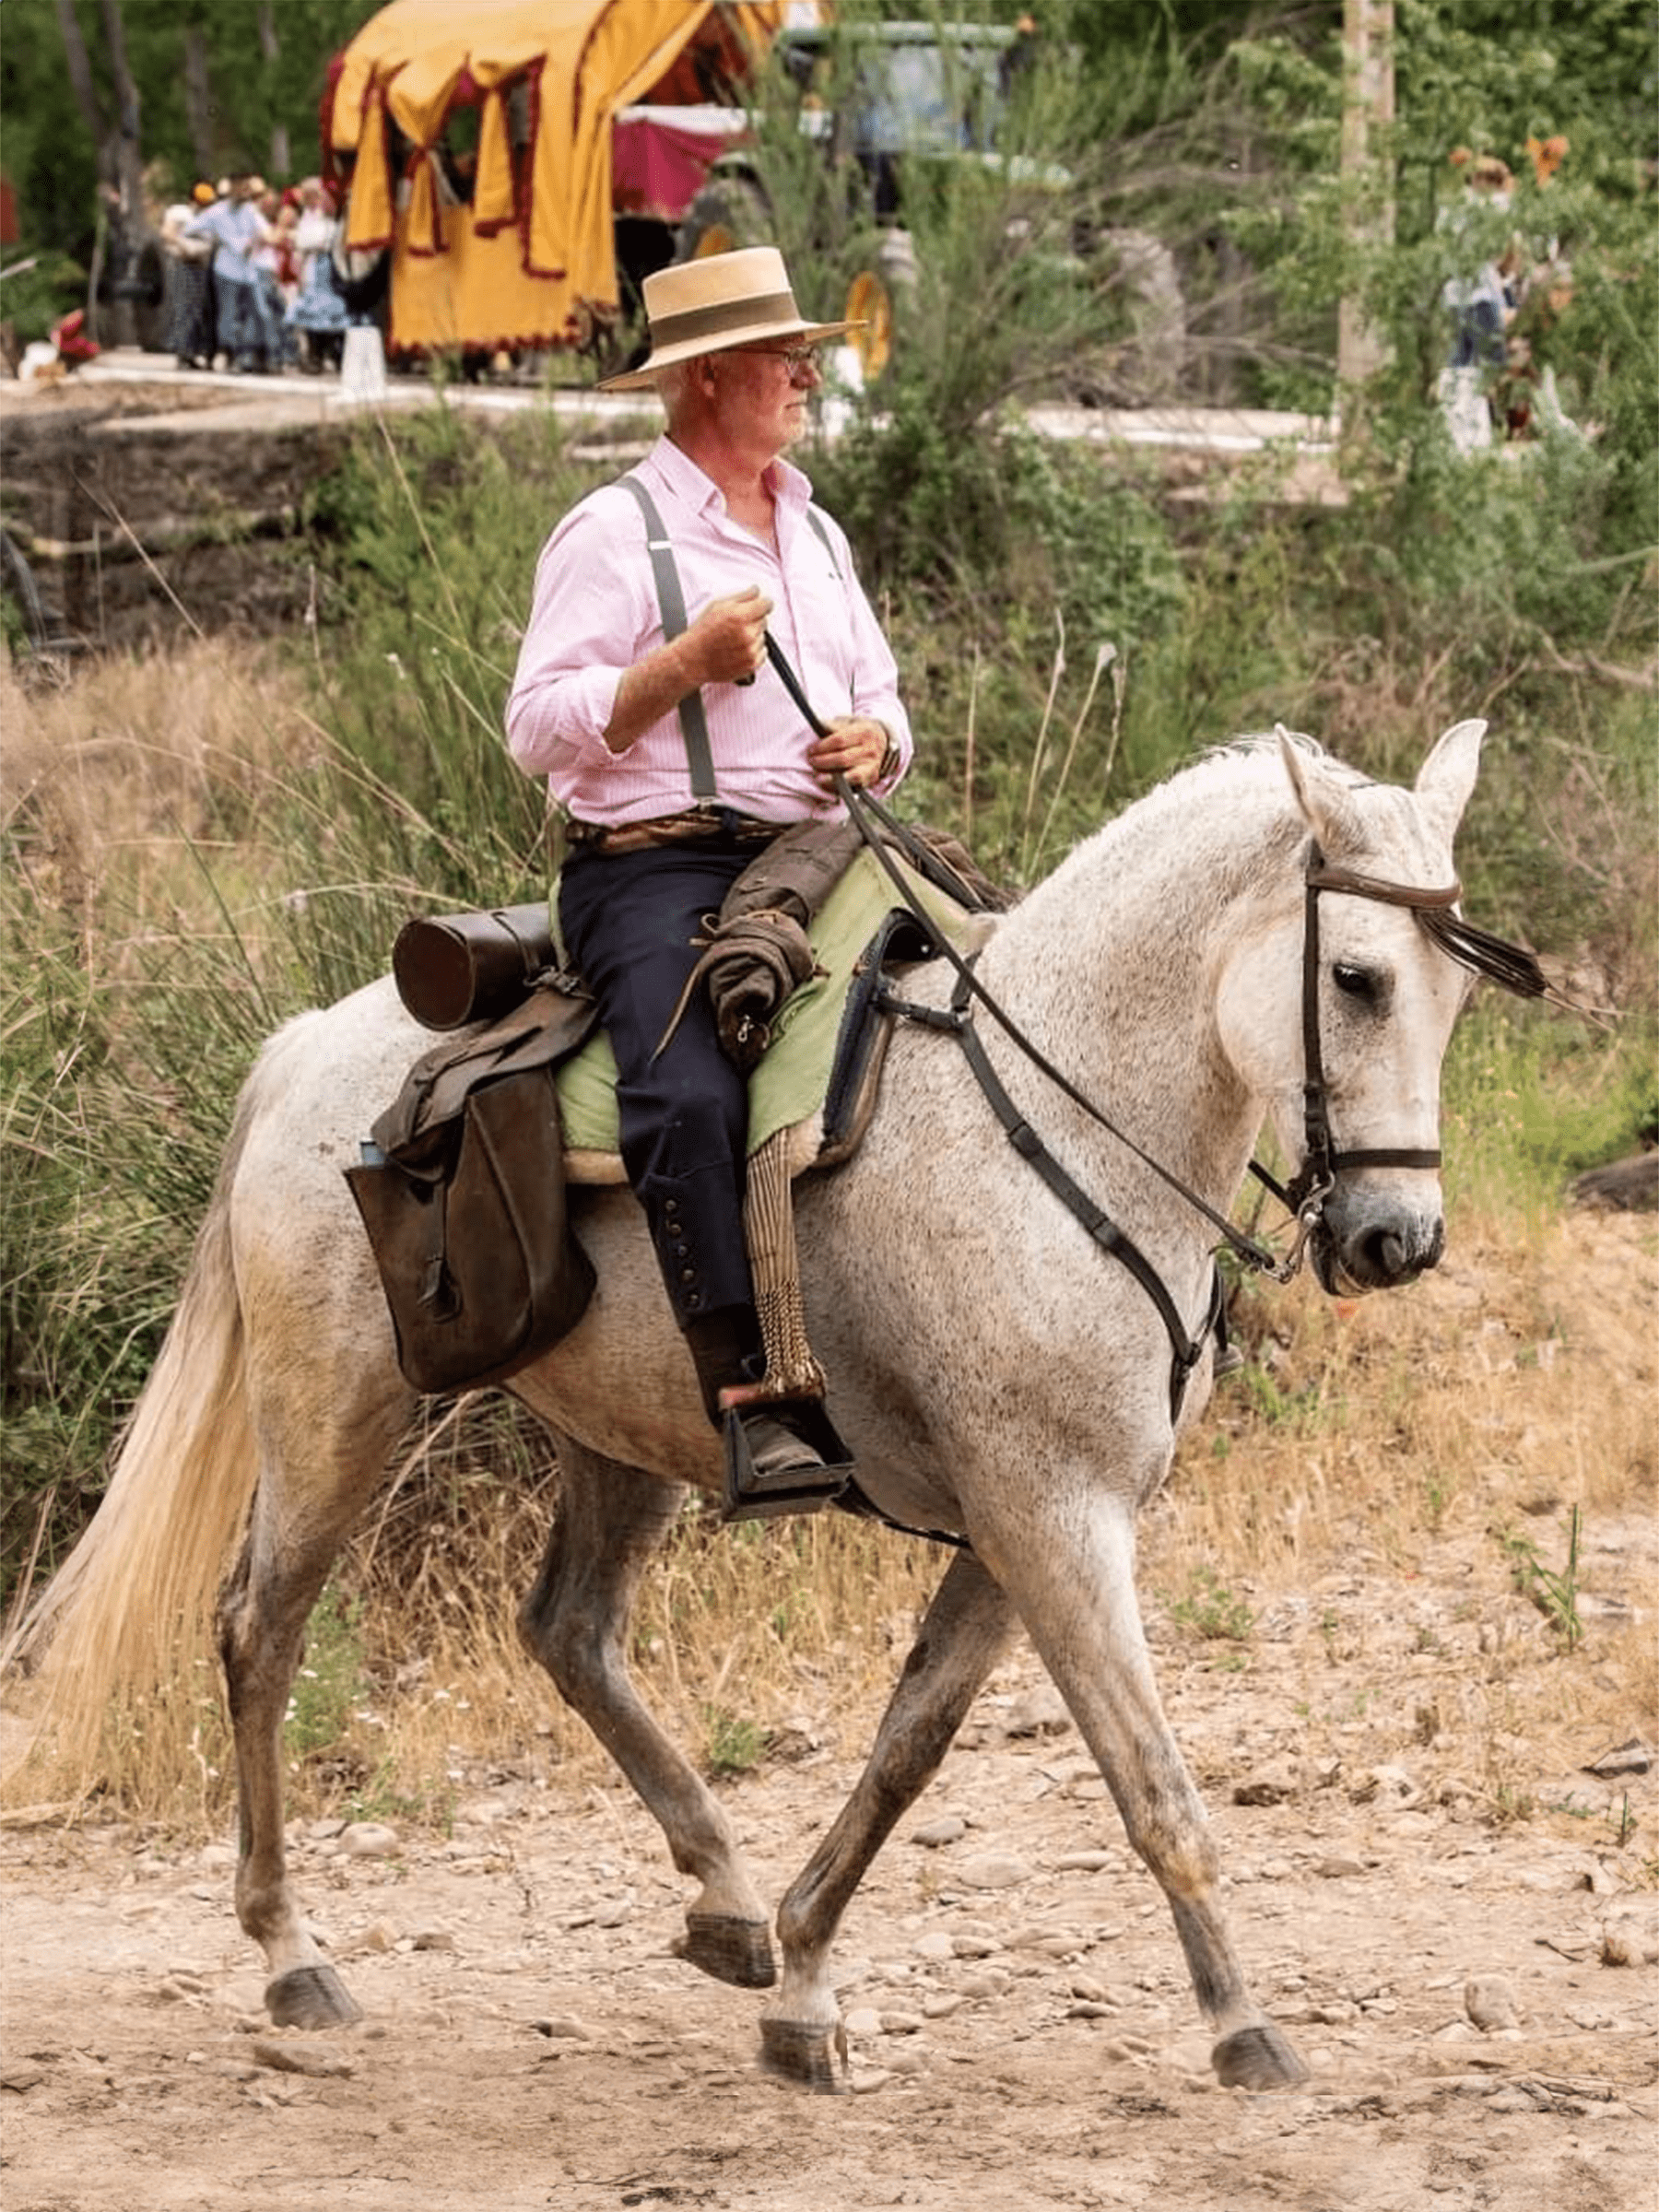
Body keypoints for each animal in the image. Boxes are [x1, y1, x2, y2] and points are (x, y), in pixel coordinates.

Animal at [6, 721, 1495, 2088]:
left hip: (614, 1441)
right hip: (333, 1415)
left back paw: (725, 1905)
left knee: (568, 1634)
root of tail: (307, 1046)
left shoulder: (1014, 1535)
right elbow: (1155, 1788)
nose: (1395, 1241)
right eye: (1358, 977)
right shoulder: (1056, 1521)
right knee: (259, 1631)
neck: (1054, 1127)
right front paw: (1245, 2029)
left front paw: (805, 1979)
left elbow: (906, 1749)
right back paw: (293, 1954)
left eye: (1454, 996)